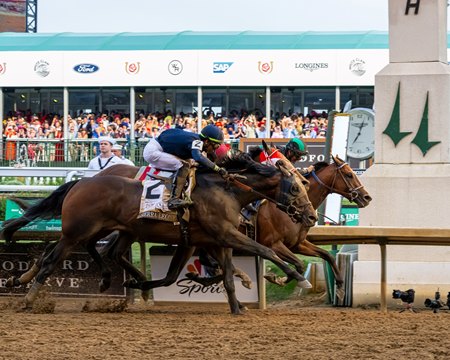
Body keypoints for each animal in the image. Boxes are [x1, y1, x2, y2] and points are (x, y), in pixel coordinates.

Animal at [6, 150, 316, 314]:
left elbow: (226, 276)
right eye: (296, 187)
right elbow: (265, 251)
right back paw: (28, 297)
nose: (311, 216)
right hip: (76, 232)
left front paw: (237, 305)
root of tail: (81, 182)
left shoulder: (217, 240)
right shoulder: (225, 235)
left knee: (101, 252)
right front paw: (297, 277)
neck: (227, 190)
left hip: (106, 230)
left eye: (304, 184)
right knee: (52, 259)